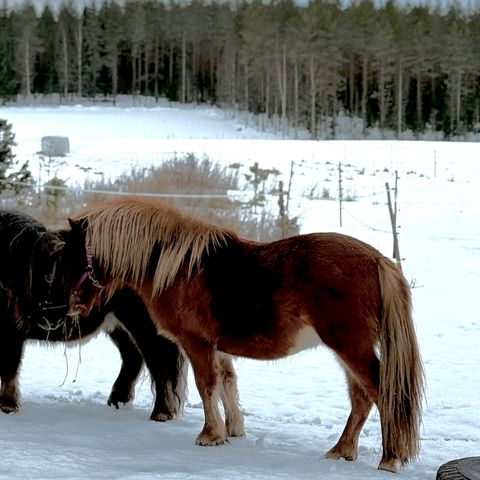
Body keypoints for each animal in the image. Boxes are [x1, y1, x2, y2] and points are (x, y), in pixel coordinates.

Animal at [0, 210, 186, 420]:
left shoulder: (12, 333)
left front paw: (8, 406)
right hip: (118, 325)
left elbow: (9, 367)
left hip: (143, 326)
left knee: (160, 363)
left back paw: (161, 413)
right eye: (49, 274)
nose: (55, 318)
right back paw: (119, 400)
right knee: (133, 357)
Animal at [70, 195, 424, 472]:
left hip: (350, 347)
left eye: (77, 258)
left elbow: (206, 386)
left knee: (383, 393)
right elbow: (227, 384)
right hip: (347, 350)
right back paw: (342, 451)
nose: (73, 305)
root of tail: (378, 261)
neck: (177, 267)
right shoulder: (218, 348)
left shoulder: (197, 344)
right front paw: (232, 431)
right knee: (362, 398)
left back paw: (389, 459)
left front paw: (210, 435)